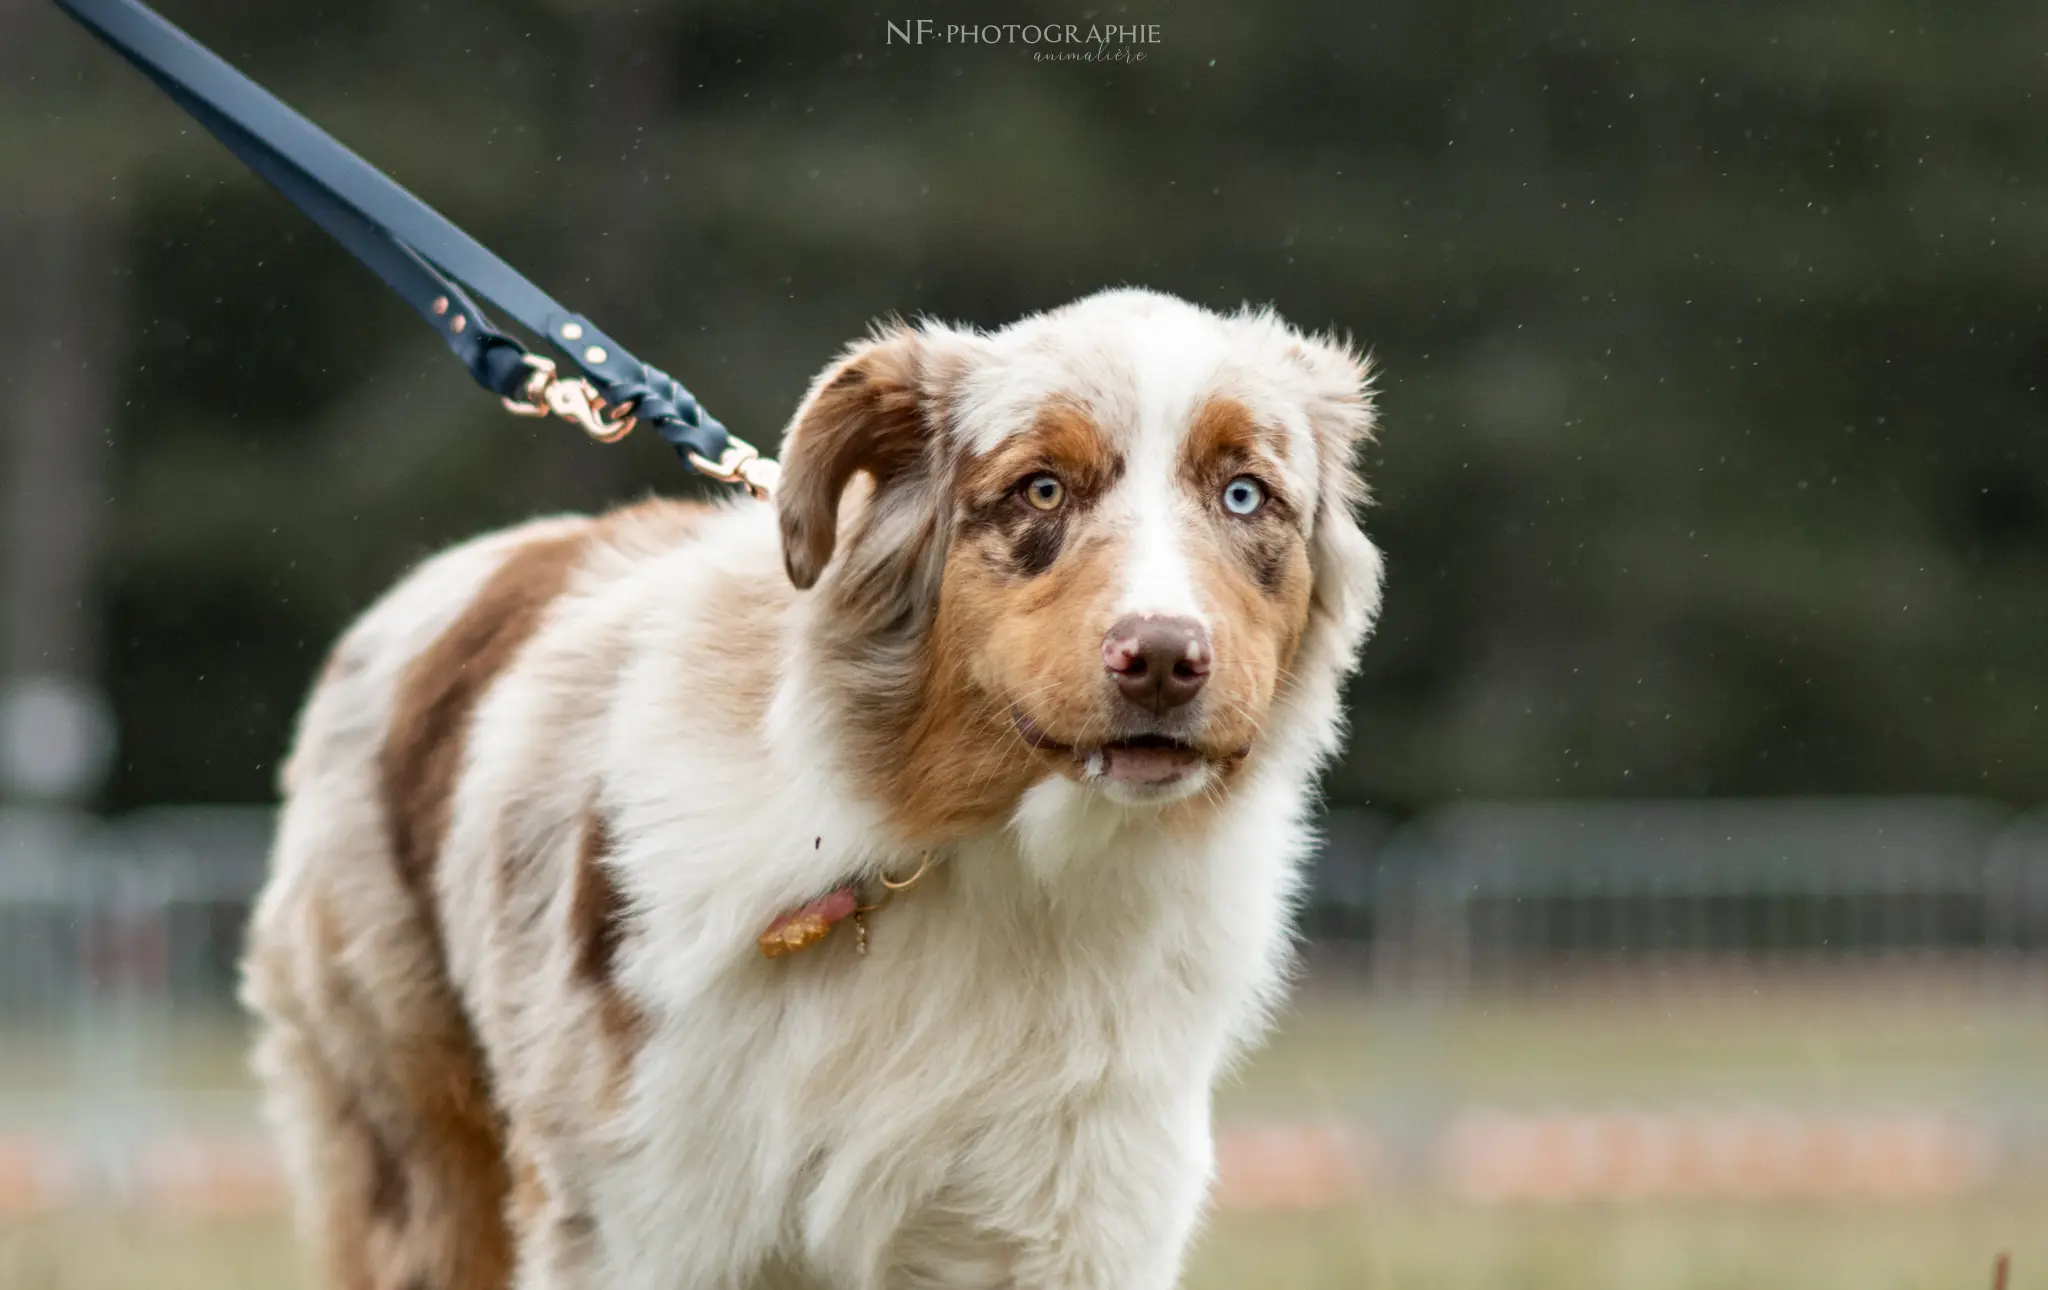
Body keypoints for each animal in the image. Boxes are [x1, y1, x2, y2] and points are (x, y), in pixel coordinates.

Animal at [243, 290, 1392, 1290]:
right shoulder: (640, 1213)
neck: (983, 859)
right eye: (1042, 490)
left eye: (1243, 494)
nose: (1160, 659)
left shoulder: (1082, 1210)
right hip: (414, 1144)